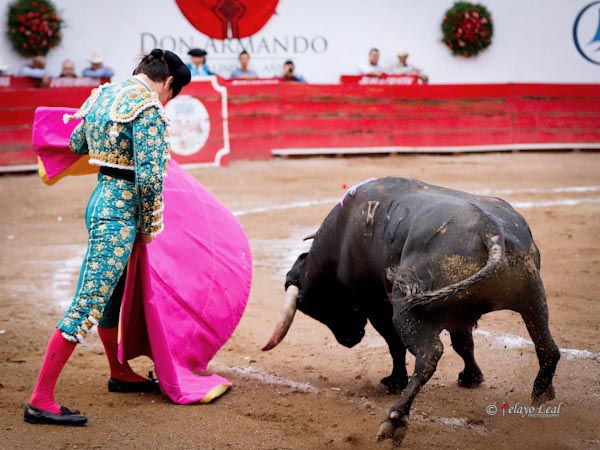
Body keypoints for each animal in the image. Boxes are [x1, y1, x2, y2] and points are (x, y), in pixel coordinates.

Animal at [264, 177, 564, 446]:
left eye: (315, 304)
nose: (349, 340)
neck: (342, 236)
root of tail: (491, 231)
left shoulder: (377, 305)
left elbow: (394, 344)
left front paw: (395, 381)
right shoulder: (459, 317)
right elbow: (463, 344)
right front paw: (472, 378)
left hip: (407, 311)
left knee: (429, 354)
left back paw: (395, 420)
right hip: (533, 297)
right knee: (547, 345)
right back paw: (541, 392)